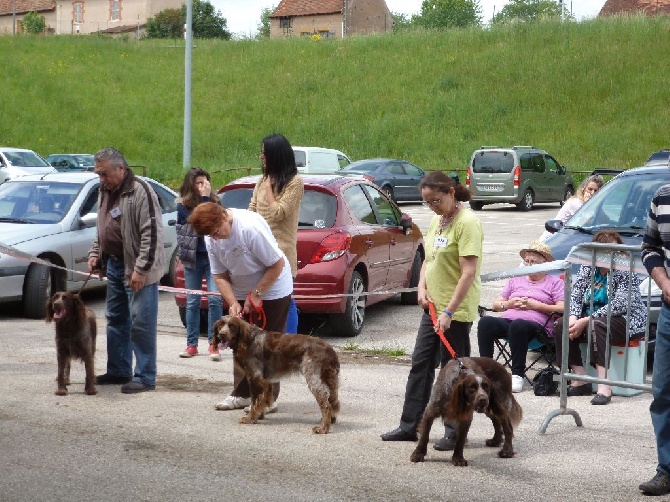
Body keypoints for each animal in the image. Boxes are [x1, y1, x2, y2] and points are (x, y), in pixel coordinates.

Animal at [214, 316, 342, 434]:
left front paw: (250, 418)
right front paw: (258, 416)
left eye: (232, 326)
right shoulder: (266, 381)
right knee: (332, 401)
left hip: (313, 379)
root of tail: (330, 349)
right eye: (221, 325)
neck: (247, 340)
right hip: (330, 380)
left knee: (326, 405)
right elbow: (262, 400)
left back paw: (323, 428)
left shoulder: (255, 378)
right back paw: (331, 420)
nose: (221, 334)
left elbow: (255, 400)